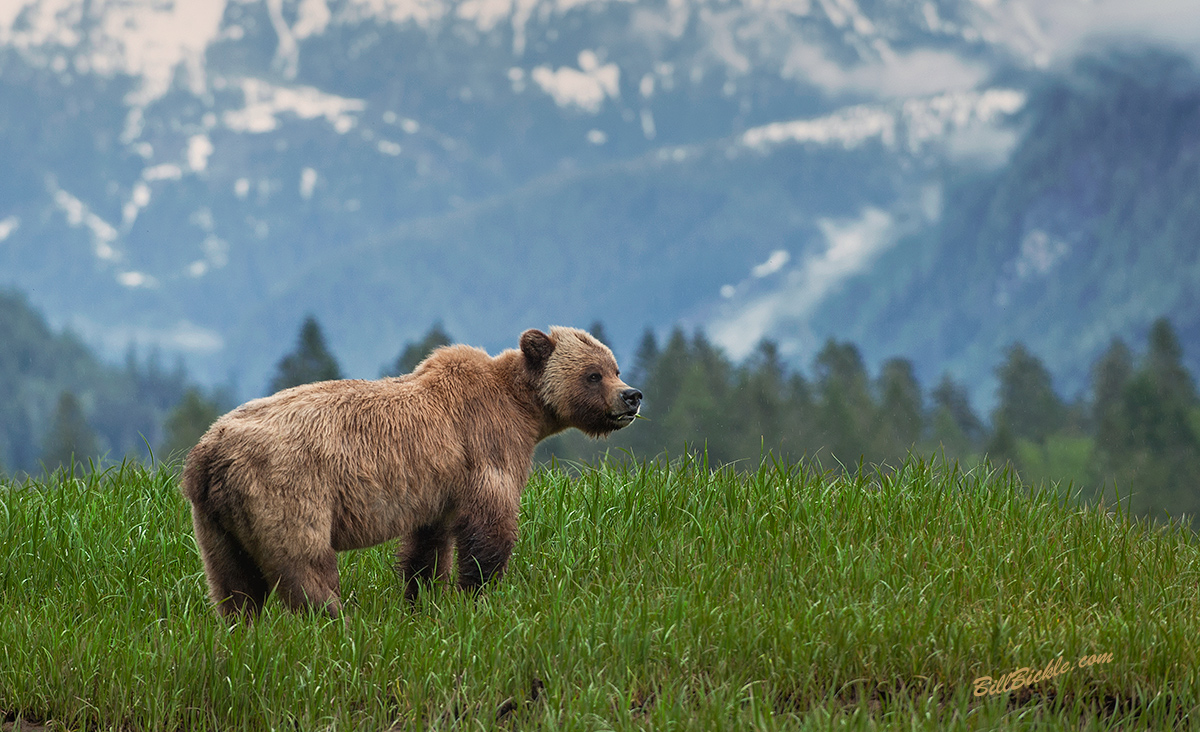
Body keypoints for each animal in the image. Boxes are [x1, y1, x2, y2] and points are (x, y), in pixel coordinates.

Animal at [181, 326, 641, 620]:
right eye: (593, 374)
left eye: (614, 366)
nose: (631, 396)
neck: (524, 412)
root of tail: (210, 451)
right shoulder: (485, 444)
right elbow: (489, 525)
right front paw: (479, 593)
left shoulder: (439, 487)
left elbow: (428, 546)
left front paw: (422, 599)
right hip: (287, 490)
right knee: (305, 565)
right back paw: (335, 621)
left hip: (214, 520)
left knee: (232, 584)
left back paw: (243, 629)